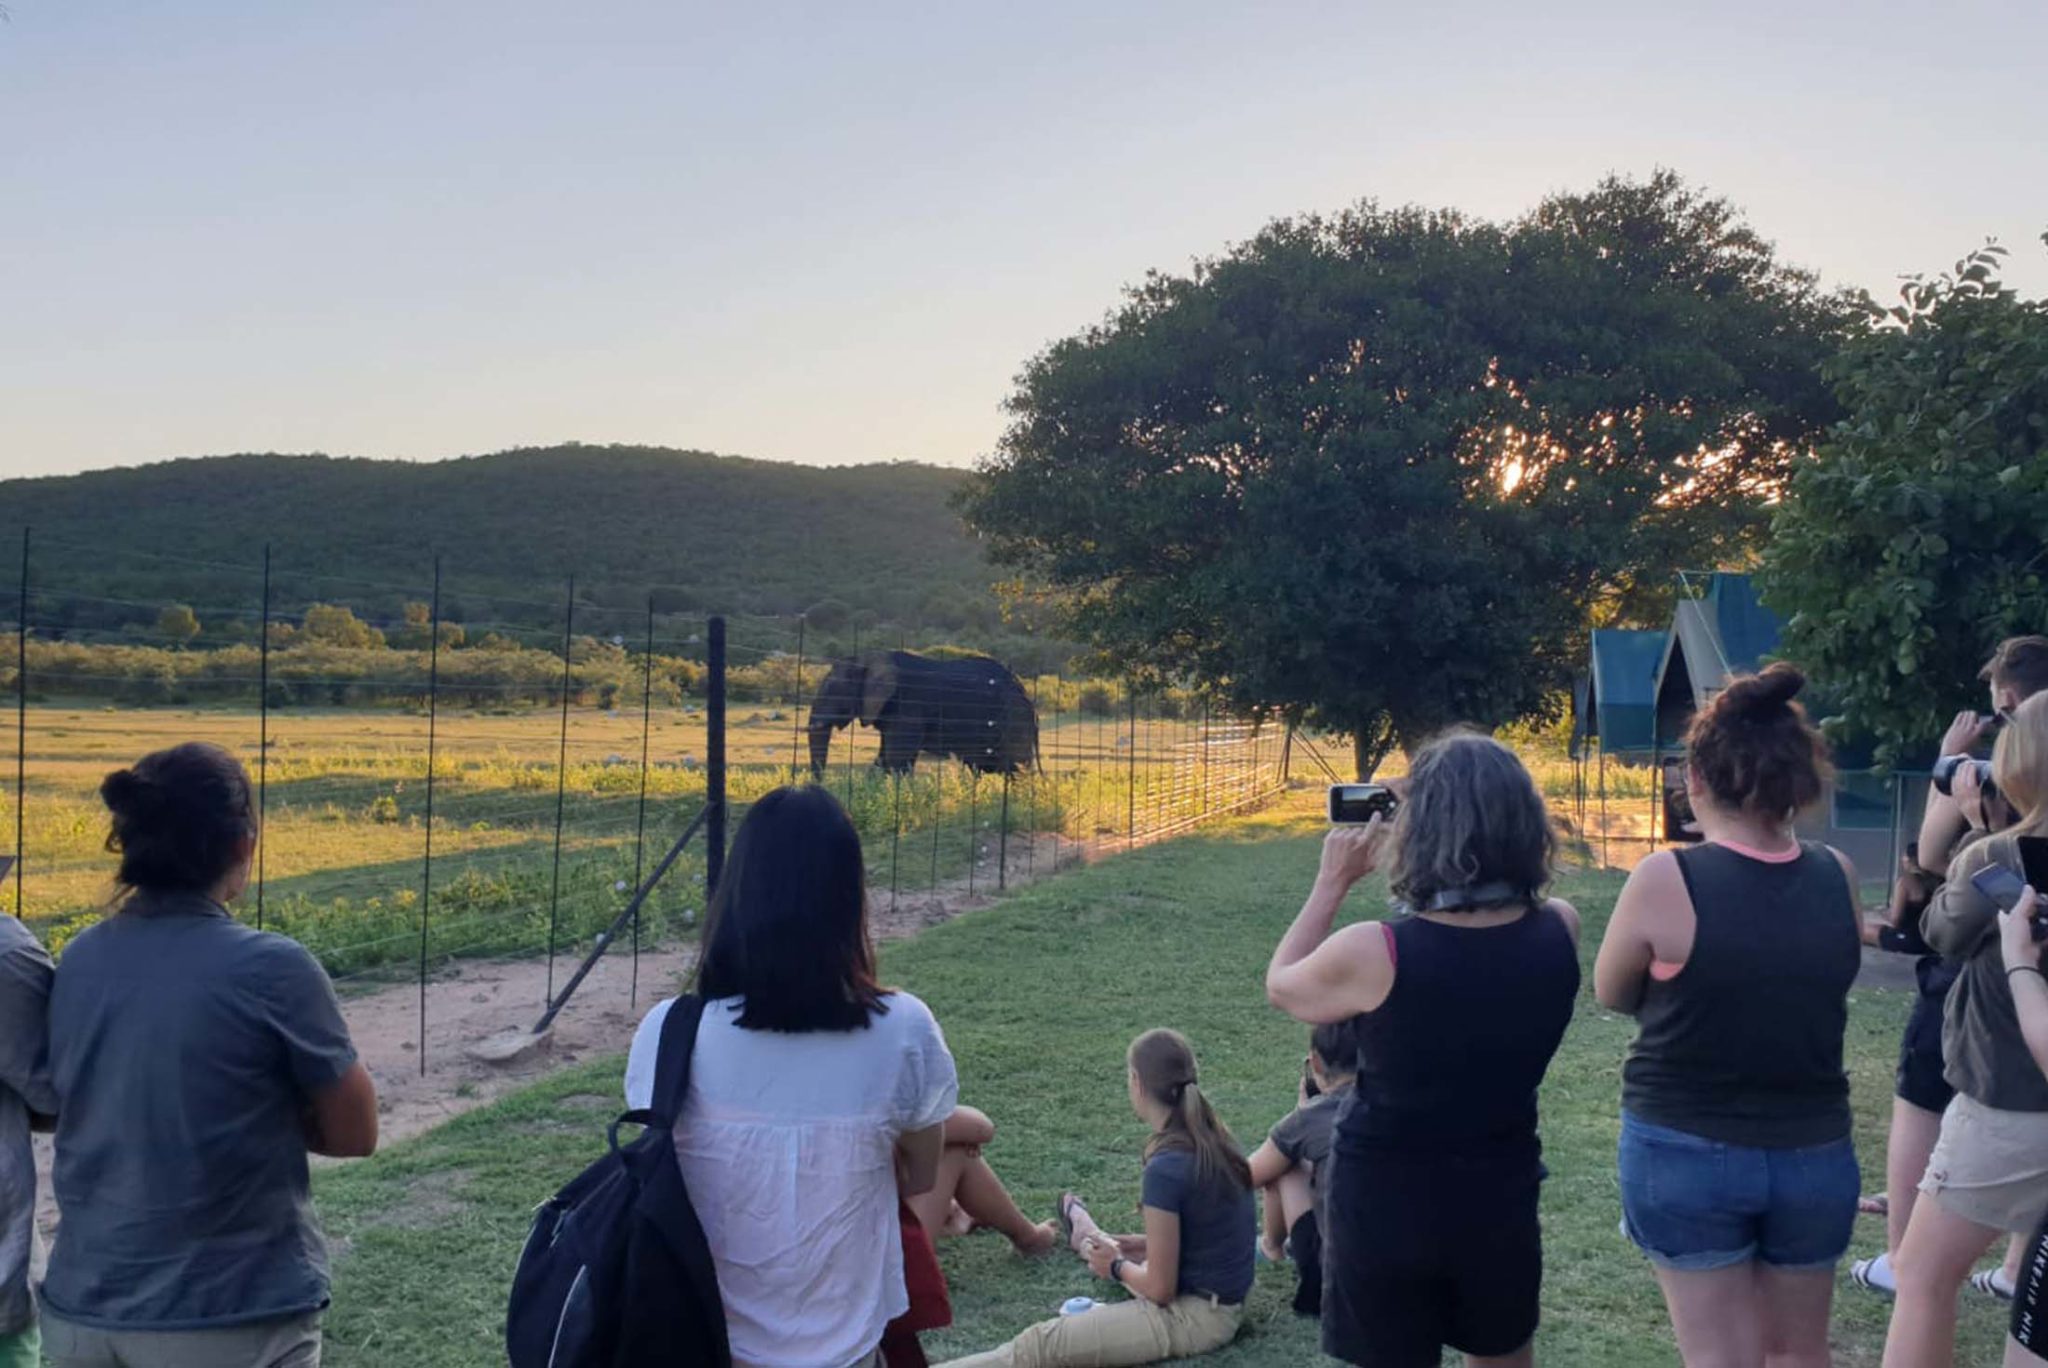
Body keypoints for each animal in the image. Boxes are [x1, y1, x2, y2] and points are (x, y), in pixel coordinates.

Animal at [806, 655, 1040, 774]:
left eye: (832, 689)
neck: (870, 659)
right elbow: (883, 759)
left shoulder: (909, 706)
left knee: (1014, 768)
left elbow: (896, 760)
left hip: (1014, 719)